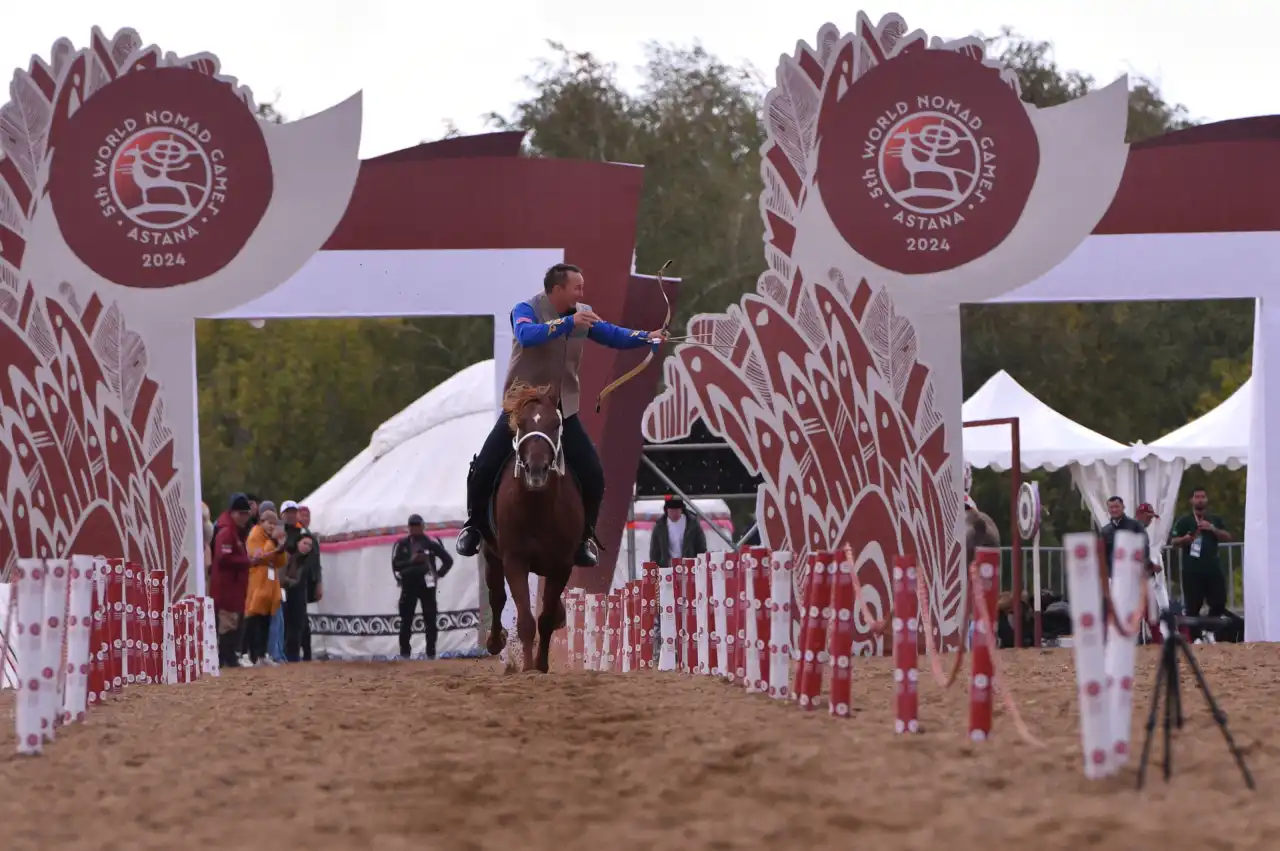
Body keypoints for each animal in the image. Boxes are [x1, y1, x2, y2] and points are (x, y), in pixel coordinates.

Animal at [481, 383, 581, 670]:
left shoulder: (562, 565)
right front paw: (527, 668)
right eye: (521, 424)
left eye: (556, 424)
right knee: (496, 597)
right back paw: (496, 641)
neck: (538, 509)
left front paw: (541, 665)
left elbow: (545, 619)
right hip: (492, 555)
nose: (537, 470)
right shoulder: (515, 560)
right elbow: (526, 619)